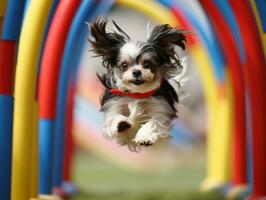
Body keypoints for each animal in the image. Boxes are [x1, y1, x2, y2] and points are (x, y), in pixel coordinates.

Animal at [87, 16, 187, 152]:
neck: (137, 94)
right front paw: (121, 124)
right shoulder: (114, 105)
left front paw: (145, 136)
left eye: (148, 64)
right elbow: (113, 117)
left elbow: (155, 121)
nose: (136, 72)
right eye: (124, 65)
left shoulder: (161, 108)